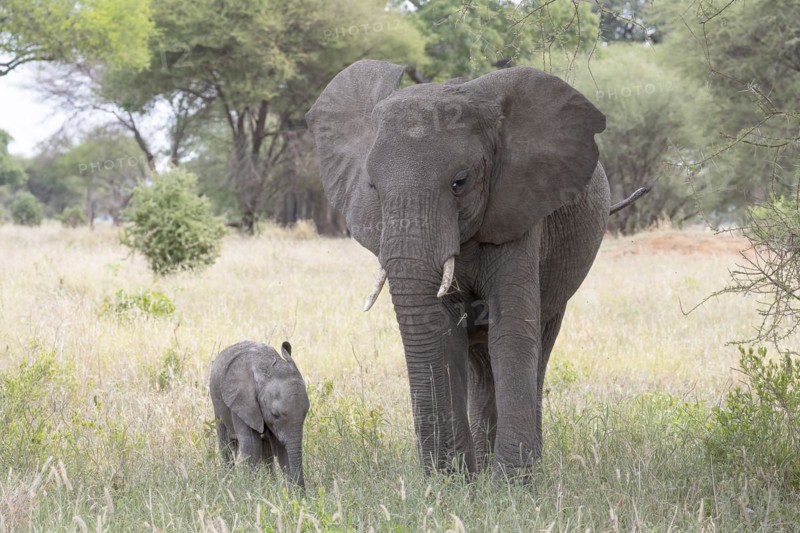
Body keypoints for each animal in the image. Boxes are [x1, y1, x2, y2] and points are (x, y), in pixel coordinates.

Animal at [209, 340, 309, 487]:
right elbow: (252, 447)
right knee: (227, 445)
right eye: (275, 414)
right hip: (217, 403)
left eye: (306, 411)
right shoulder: (243, 402)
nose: (302, 491)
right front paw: (248, 488)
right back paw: (227, 480)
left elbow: (282, 449)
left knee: (267, 451)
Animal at [306, 59, 640, 480]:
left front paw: (512, 483)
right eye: (372, 187)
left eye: (459, 182)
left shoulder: (521, 210)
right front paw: (456, 480)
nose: (442, 472)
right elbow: (442, 332)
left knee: (538, 346)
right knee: (479, 363)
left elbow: (512, 332)